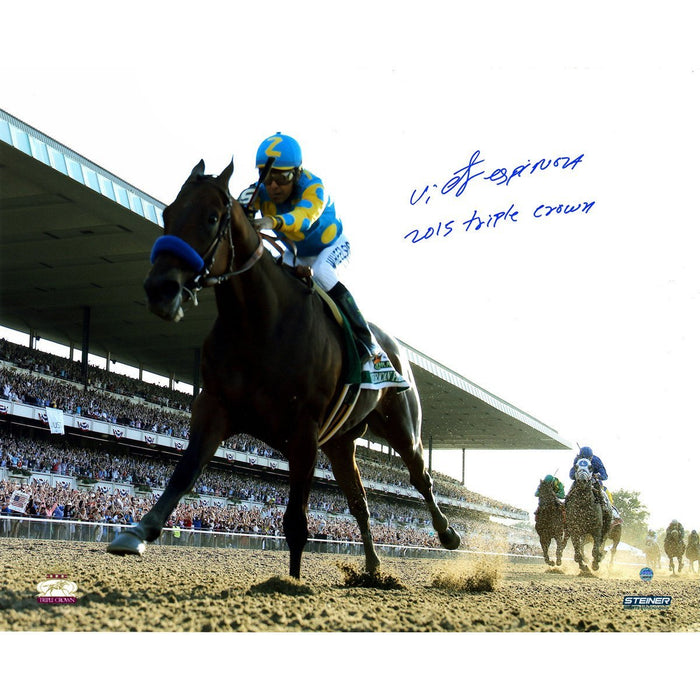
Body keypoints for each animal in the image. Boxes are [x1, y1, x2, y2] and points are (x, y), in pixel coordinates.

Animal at [108, 161, 460, 576]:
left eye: (211, 218)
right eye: (167, 214)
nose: (160, 289)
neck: (260, 323)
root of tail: (396, 348)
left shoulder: (304, 431)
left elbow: (296, 522)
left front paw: (291, 583)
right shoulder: (215, 406)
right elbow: (185, 471)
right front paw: (137, 532)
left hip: (402, 425)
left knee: (420, 477)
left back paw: (448, 534)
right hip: (341, 443)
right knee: (360, 502)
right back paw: (373, 567)